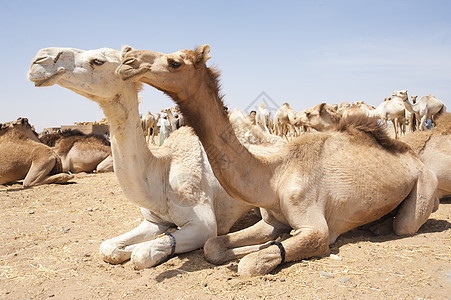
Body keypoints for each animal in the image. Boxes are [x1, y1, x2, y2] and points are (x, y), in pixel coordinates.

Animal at [28, 46, 260, 270]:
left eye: (98, 61)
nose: (39, 59)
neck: (160, 175)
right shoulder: (152, 220)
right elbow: (108, 247)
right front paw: (125, 249)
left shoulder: (204, 225)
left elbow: (142, 253)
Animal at [117, 44, 442, 276]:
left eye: (175, 62)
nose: (127, 58)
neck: (274, 175)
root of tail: (415, 159)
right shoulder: (270, 220)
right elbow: (213, 246)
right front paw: (261, 244)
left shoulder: (317, 229)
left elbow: (252, 264)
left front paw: (263, 251)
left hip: (425, 185)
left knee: (406, 224)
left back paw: (383, 227)